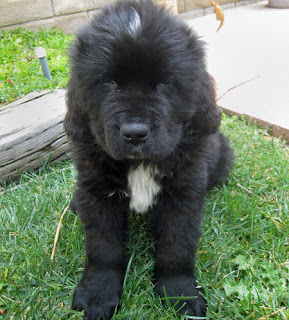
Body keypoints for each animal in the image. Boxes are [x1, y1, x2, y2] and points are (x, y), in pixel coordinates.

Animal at [64, 1, 233, 318]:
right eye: (109, 83)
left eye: (165, 83)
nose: (135, 133)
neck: (138, 165)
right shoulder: (96, 192)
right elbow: (103, 248)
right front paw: (97, 294)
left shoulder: (183, 195)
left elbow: (177, 248)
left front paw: (179, 294)